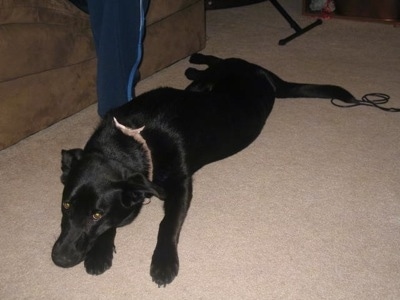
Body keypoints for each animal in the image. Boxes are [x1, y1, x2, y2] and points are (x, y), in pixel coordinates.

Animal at [51, 53, 354, 286]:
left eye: (96, 213)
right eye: (65, 206)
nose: (59, 259)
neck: (132, 139)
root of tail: (261, 73)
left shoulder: (181, 186)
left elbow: (167, 224)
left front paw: (164, 262)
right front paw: (100, 253)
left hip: (216, 78)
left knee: (218, 61)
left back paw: (194, 61)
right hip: (203, 84)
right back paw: (193, 63)